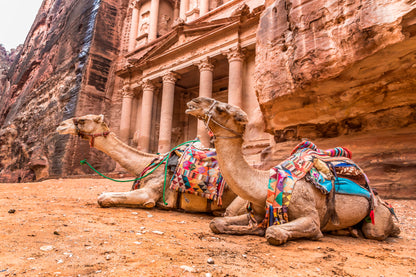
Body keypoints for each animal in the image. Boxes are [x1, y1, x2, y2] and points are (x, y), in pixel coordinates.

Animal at [54, 113, 244, 215]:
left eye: (84, 120)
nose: (60, 125)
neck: (147, 163)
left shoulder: (150, 191)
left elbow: (103, 197)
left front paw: (149, 205)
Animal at [186, 96, 400, 244]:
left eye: (221, 109)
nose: (194, 102)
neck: (263, 184)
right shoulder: (256, 212)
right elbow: (216, 223)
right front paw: (252, 229)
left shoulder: (310, 216)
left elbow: (275, 231)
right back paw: (349, 230)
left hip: (377, 215)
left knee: (376, 230)